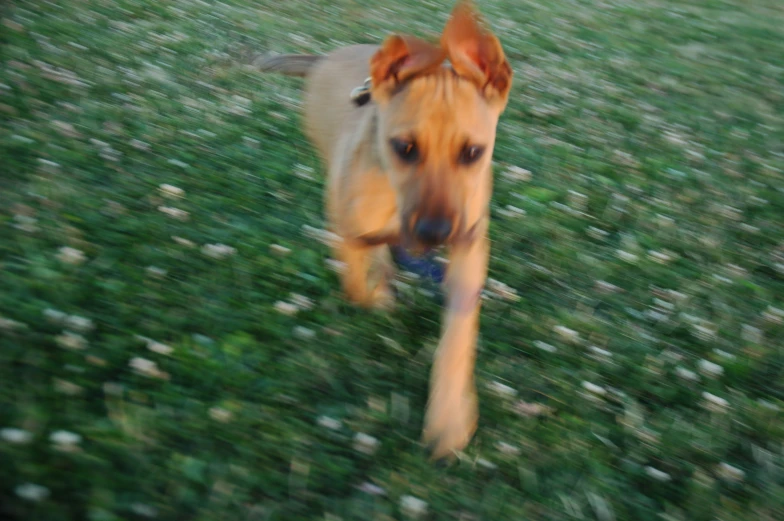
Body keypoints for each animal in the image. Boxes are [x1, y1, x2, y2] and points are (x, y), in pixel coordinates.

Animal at [258, 0, 516, 458]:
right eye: (404, 148)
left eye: (473, 152)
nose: (435, 233)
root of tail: (326, 58)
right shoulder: (349, 227)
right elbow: (356, 280)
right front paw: (376, 292)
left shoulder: (470, 246)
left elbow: (457, 336)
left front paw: (449, 418)